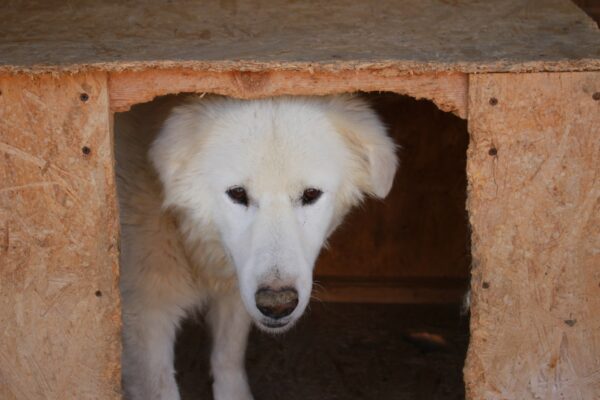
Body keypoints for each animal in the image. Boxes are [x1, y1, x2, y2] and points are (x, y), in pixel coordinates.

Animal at [116, 94, 398, 400]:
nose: (277, 305)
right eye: (238, 194)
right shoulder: (146, 316)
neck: (188, 238)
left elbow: (228, 356)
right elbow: (160, 387)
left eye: (311, 194)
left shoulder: (237, 290)